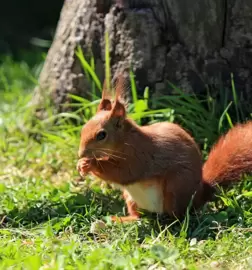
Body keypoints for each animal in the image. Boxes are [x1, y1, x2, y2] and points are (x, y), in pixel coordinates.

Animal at [77, 75, 252, 221]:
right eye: (83, 128)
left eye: (101, 135)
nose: (80, 153)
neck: (125, 141)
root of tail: (200, 193)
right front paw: (81, 165)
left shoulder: (139, 155)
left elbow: (123, 173)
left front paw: (90, 164)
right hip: (130, 197)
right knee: (138, 216)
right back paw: (123, 220)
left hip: (175, 189)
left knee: (178, 215)